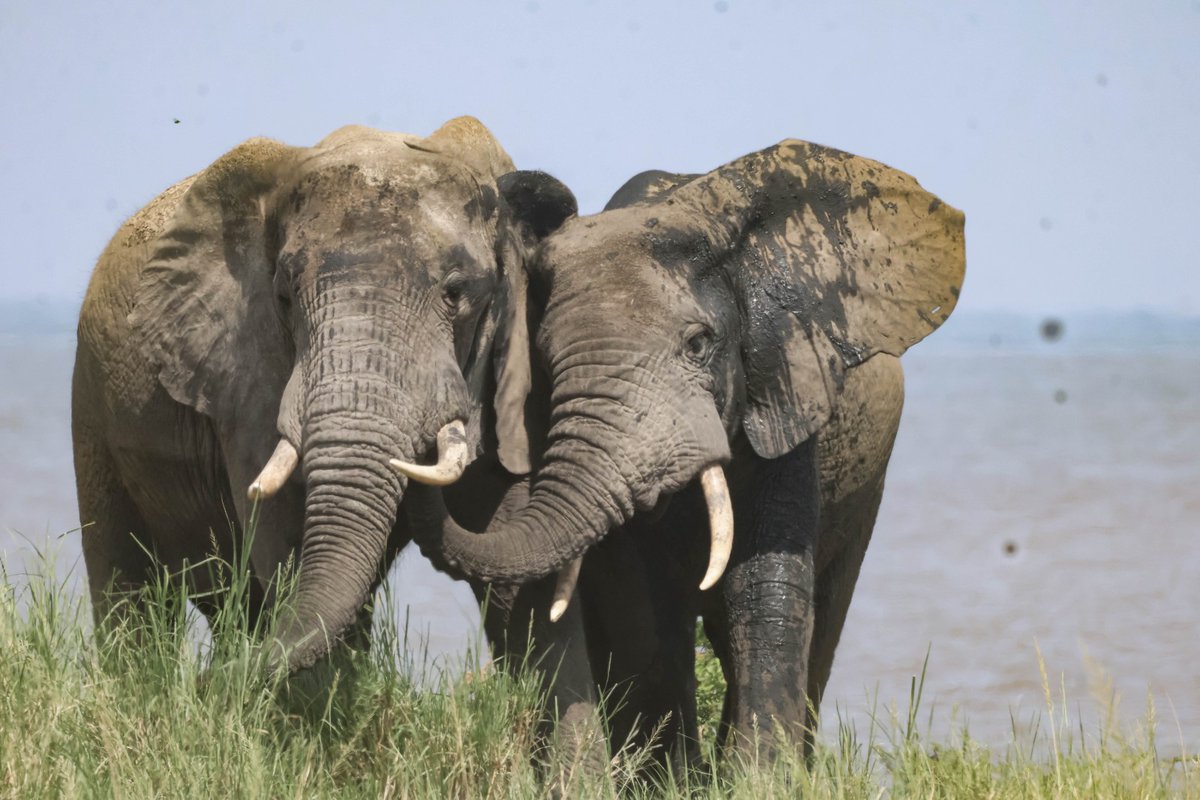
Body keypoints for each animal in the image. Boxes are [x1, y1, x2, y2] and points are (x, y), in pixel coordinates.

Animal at [70, 117, 577, 676]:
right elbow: (288, 548)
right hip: (92, 405)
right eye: (285, 297)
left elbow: (512, 544)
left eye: (456, 293)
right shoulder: (246, 380)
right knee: (127, 581)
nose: (206, 680)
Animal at [405, 138, 965, 769]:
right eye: (547, 360)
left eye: (699, 345)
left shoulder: (783, 390)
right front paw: (674, 778)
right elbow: (642, 605)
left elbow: (765, 586)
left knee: (825, 615)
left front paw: (759, 778)